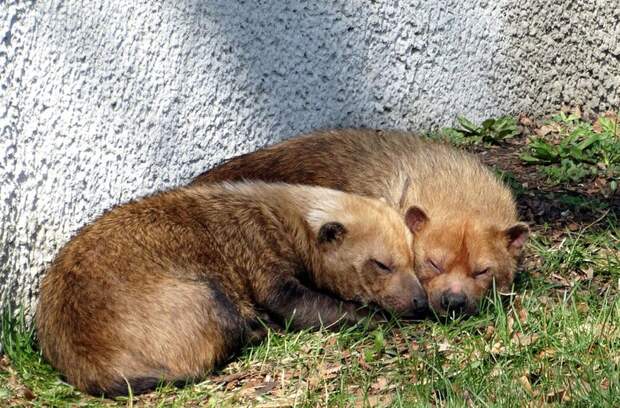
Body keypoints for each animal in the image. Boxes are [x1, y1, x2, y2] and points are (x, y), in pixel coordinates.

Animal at [36, 181, 426, 396]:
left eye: (413, 258)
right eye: (381, 264)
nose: (421, 301)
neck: (286, 215)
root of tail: (92, 364)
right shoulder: (266, 264)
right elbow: (301, 306)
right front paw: (375, 317)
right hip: (205, 297)